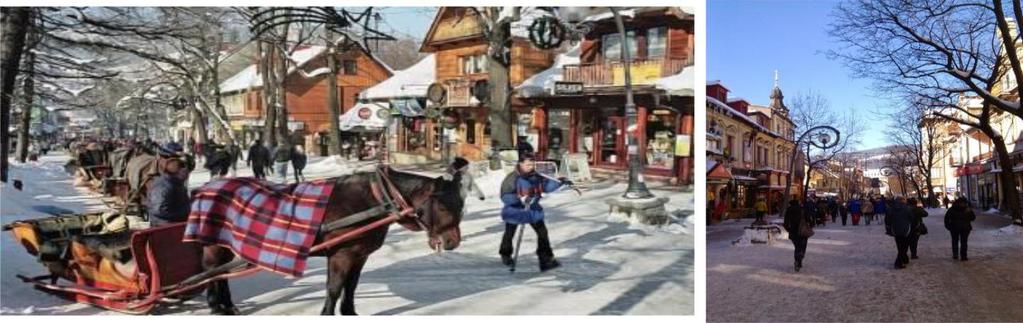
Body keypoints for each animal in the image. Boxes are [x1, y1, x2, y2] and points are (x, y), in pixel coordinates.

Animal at [198, 162, 468, 314]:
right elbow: (335, 288)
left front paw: (349, 313)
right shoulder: (341, 255)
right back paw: (216, 306)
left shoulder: (359, 256)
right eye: (442, 206)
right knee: (212, 272)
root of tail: (205, 188)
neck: (373, 199)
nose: (452, 242)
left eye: (460, 204)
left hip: (225, 244)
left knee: (221, 274)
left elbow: (351, 286)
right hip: (212, 245)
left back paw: (227, 305)